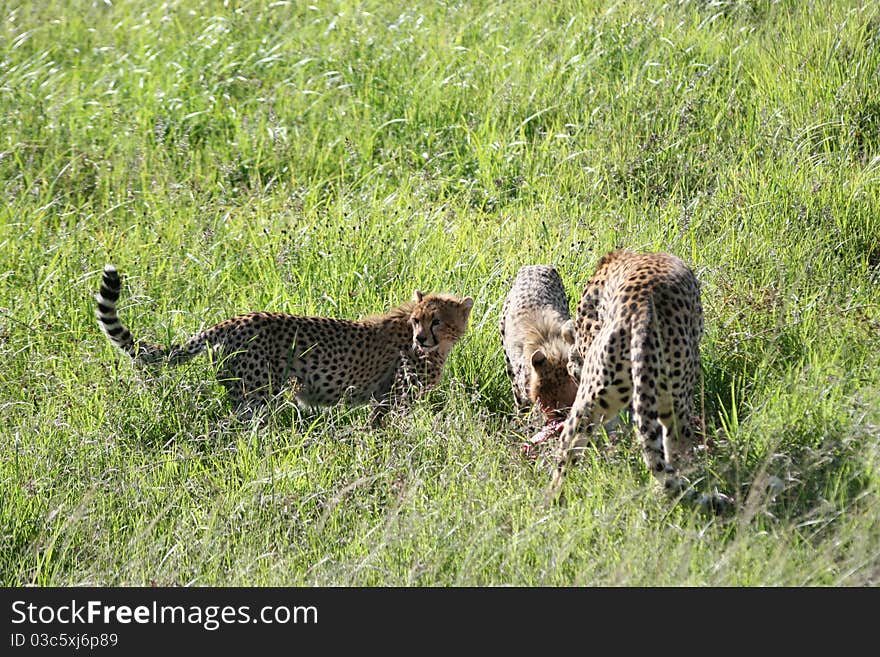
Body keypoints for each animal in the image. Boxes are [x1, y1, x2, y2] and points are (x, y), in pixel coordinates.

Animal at [96, 266, 474, 422]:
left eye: (436, 321)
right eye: (417, 321)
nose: (420, 338)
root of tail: (235, 320)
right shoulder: (394, 400)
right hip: (256, 397)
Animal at [548, 249, 732, 510]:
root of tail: (641, 313)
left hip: (597, 400)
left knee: (568, 446)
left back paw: (551, 501)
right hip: (674, 399)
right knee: (673, 450)